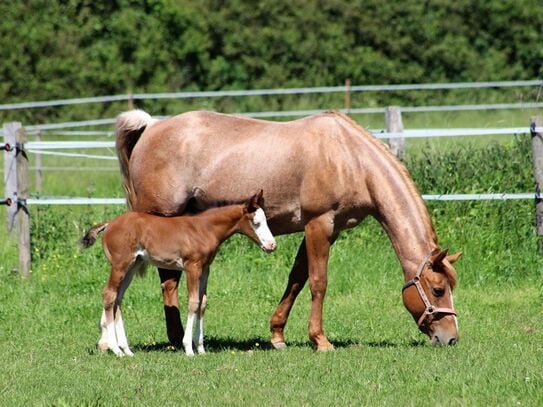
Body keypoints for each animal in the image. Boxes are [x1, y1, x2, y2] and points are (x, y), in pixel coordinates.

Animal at [82, 193, 276, 356]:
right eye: (256, 223)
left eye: (266, 221)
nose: (272, 245)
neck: (204, 229)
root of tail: (109, 224)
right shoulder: (192, 267)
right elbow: (193, 302)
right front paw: (189, 348)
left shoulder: (205, 269)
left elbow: (203, 303)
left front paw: (201, 349)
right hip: (120, 265)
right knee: (109, 295)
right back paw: (116, 349)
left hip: (132, 266)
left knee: (118, 298)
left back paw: (127, 350)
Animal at [116, 109, 464, 350]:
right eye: (437, 289)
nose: (451, 338)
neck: (349, 158)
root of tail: (151, 126)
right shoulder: (319, 224)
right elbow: (319, 282)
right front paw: (320, 340)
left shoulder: (327, 229)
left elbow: (297, 278)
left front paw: (277, 334)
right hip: (163, 217)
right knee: (168, 280)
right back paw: (177, 338)